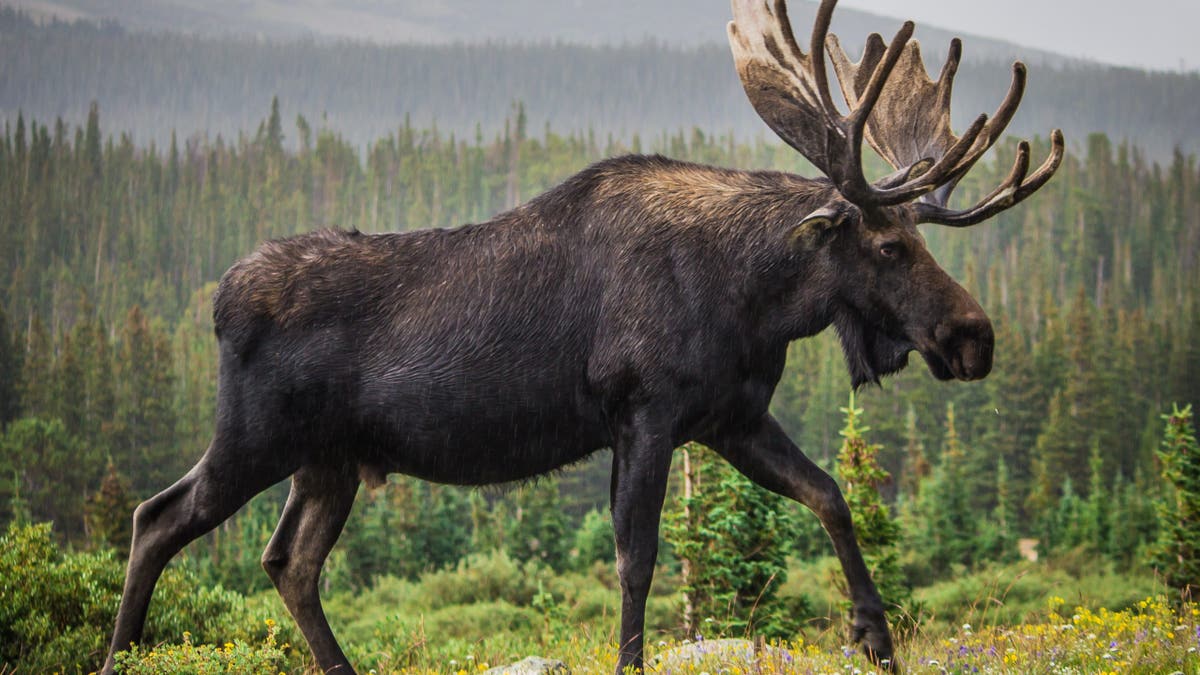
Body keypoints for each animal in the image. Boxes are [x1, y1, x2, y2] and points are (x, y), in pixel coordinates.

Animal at [102, 0, 1063, 672]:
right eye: (891, 245)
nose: (974, 336)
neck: (752, 295)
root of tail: (219, 299)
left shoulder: (731, 418)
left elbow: (830, 493)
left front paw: (874, 633)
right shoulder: (644, 411)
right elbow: (638, 557)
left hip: (329, 460)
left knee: (288, 561)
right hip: (257, 435)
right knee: (158, 517)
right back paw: (118, 653)